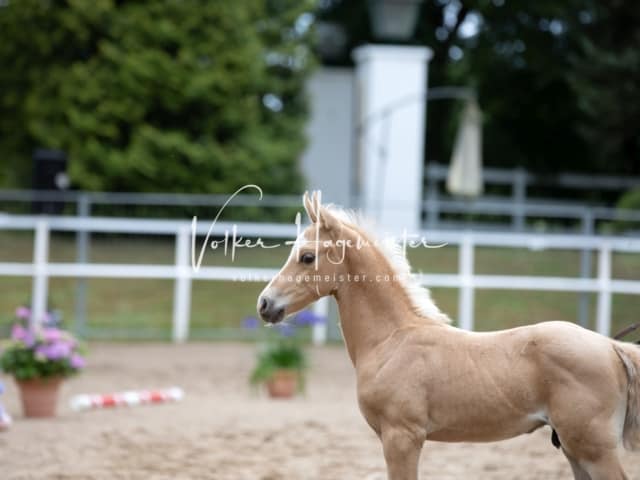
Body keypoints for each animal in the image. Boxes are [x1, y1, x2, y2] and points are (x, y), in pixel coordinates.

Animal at [256, 193, 640, 478]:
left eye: (307, 257)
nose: (264, 304)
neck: (391, 341)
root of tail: (610, 346)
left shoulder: (402, 438)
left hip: (591, 448)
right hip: (575, 449)